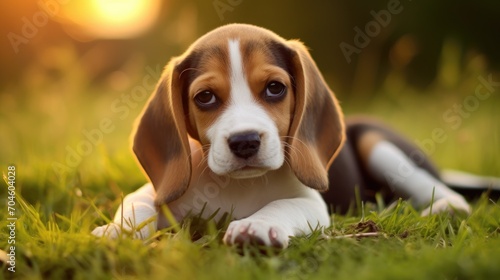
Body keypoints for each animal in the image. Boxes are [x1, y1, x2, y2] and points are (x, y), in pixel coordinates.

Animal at [93, 23, 472, 247]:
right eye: (205, 97)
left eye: (275, 88)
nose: (245, 141)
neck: (238, 186)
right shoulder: (158, 191)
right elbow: (137, 202)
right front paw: (116, 232)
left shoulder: (311, 203)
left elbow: (280, 204)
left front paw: (254, 227)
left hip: (377, 144)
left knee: (452, 196)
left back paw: (439, 208)